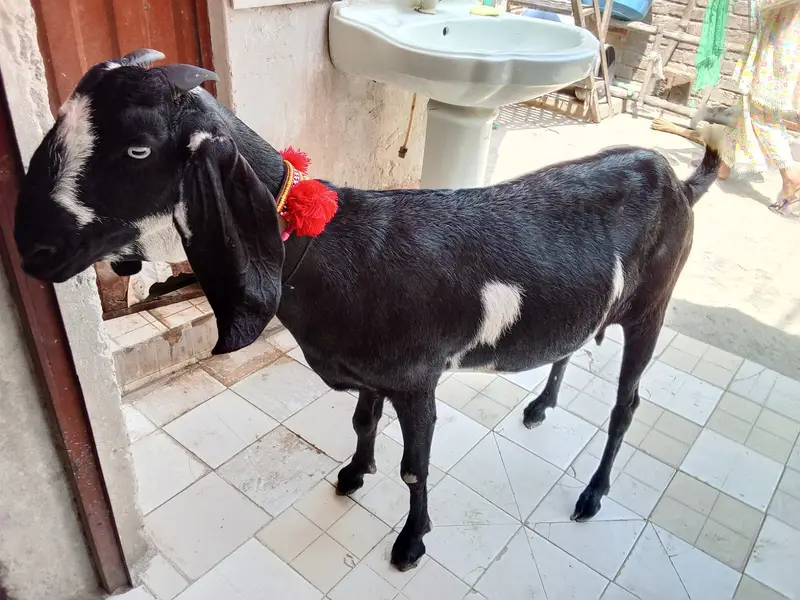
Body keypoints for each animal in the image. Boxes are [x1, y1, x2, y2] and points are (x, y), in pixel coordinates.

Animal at [14, 51, 722, 572]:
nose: (33, 248)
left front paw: (411, 543)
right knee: (571, 346)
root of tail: (675, 176)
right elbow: (360, 423)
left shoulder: (416, 379)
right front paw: (354, 473)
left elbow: (414, 467)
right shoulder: (371, 373)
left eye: (137, 148)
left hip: (653, 306)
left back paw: (592, 495)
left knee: (626, 404)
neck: (334, 248)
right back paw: (540, 407)